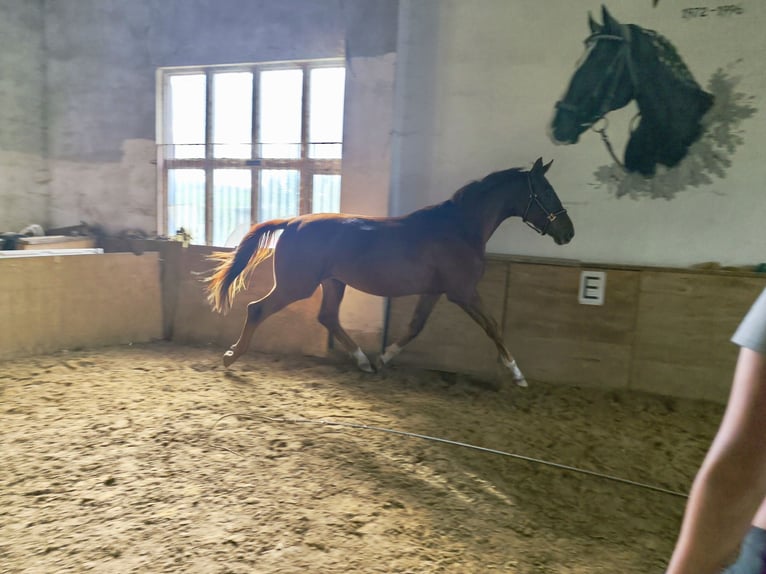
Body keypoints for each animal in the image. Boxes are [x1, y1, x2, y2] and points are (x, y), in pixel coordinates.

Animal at [206, 158, 574, 386]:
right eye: (545, 192)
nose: (568, 232)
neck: (459, 228)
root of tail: (293, 221)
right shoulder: (463, 292)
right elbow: (493, 326)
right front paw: (517, 374)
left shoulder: (435, 291)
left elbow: (415, 327)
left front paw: (384, 357)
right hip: (297, 285)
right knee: (257, 309)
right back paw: (231, 357)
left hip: (333, 283)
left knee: (328, 317)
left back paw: (363, 361)